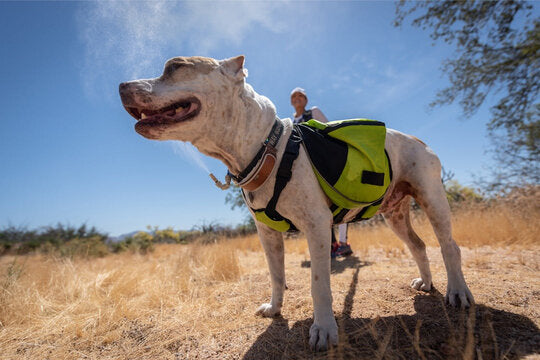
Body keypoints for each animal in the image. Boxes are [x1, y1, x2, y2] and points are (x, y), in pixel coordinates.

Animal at [118, 56, 472, 352]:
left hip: (433, 200)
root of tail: (420, 140)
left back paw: (458, 292)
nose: (121, 86)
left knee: (449, 247)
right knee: (418, 245)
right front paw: (275, 309)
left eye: (175, 66)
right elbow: (276, 275)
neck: (265, 147)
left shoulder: (317, 227)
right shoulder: (267, 235)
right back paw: (426, 282)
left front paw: (324, 330)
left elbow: (319, 284)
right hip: (395, 215)